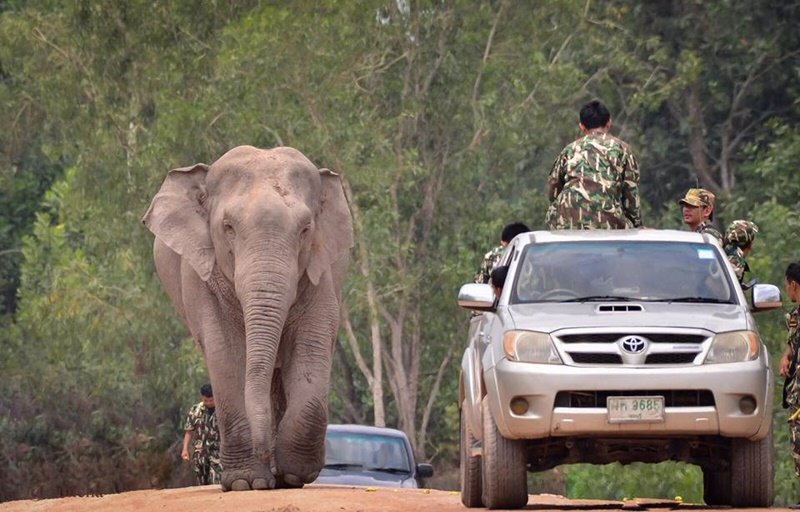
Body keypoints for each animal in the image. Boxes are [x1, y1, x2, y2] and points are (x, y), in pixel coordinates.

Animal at [143, 146, 354, 490]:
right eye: (228, 227)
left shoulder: (320, 272)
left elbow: (312, 343)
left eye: (306, 229)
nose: (265, 452)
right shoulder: (203, 276)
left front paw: (293, 475)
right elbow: (226, 353)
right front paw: (246, 483)